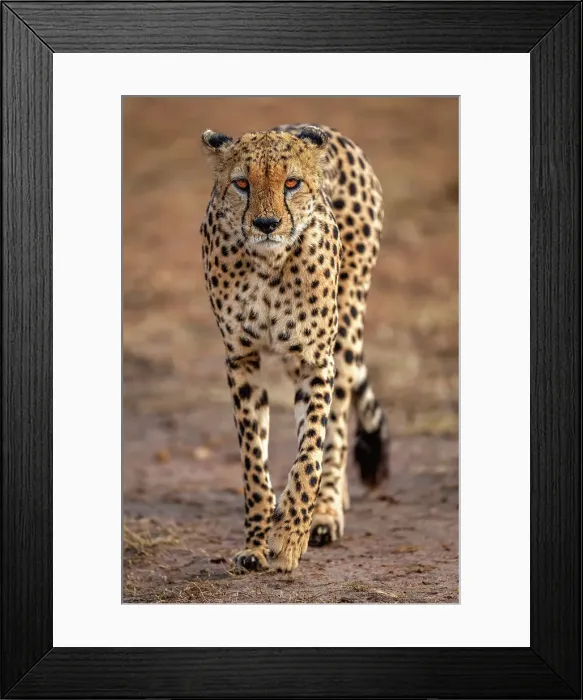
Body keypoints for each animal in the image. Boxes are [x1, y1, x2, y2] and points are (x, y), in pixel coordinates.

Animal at [200, 124, 390, 573]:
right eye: (242, 184)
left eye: (291, 183)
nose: (267, 223)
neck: (269, 264)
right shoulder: (242, 360)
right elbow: (253, 461)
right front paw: (255, 543)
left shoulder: (316, 361)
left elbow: (311, 453)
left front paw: (290, 535)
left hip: (346, 330)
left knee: (337, 430)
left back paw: (325, 512)